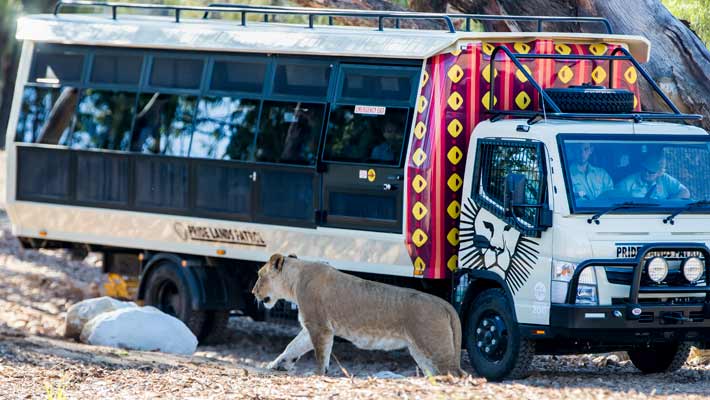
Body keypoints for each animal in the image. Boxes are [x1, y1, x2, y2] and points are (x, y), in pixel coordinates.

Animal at [251, 254, 465, 376]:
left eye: (260, 275)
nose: (253, 292)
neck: (294, 282)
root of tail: (444, 303)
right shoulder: (310, 327)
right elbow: (292, 347)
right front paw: (276, 364)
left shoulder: (320, 327)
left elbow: (321, 354)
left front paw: (318, 374)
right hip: (420, 352)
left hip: (435, 347)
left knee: (457, 374)